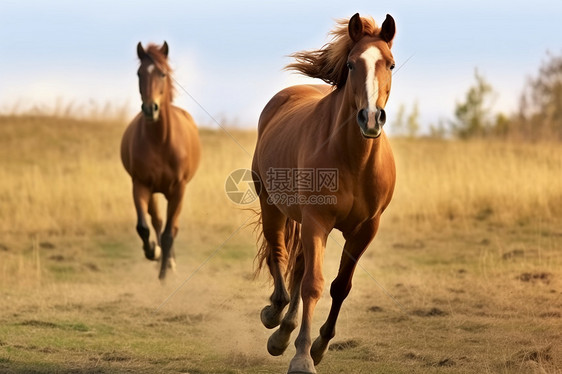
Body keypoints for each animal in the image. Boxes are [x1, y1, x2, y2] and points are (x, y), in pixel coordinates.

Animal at [121, 41, 200, 280]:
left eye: (162, 74)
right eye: (139, 74)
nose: (150, 109)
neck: (160, 141)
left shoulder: (179, 189)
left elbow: (168, 234)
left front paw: (164, 273)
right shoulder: (140, 185)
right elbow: (144, 227)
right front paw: (153, 252)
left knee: (171, 227)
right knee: (157, 221)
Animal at [252, 13, 396, 372]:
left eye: (390, 64)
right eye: (351, 64)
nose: (370, 118)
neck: (354, 161)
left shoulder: (365, 230)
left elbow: (340, 286)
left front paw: (318, 346)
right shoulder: (317, 221)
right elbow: (313, 285)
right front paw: (303, 357)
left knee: (298, 266)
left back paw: (283, 332)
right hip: (271, 205)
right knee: (279, 254)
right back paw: (274, 316)